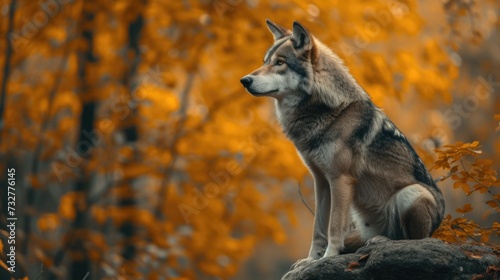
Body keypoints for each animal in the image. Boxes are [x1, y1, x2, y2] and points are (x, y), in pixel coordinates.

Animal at [240, 19, 444, 266]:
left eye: (280, 63)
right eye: (265, 62)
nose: (244, 80)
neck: (328, 112)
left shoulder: (340, 180)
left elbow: (334, 227)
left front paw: (328, 257)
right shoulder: (320, 180)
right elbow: (318, 229)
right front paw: (311, 261)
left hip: (411, 194)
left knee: (413, 240)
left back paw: (382, 241)